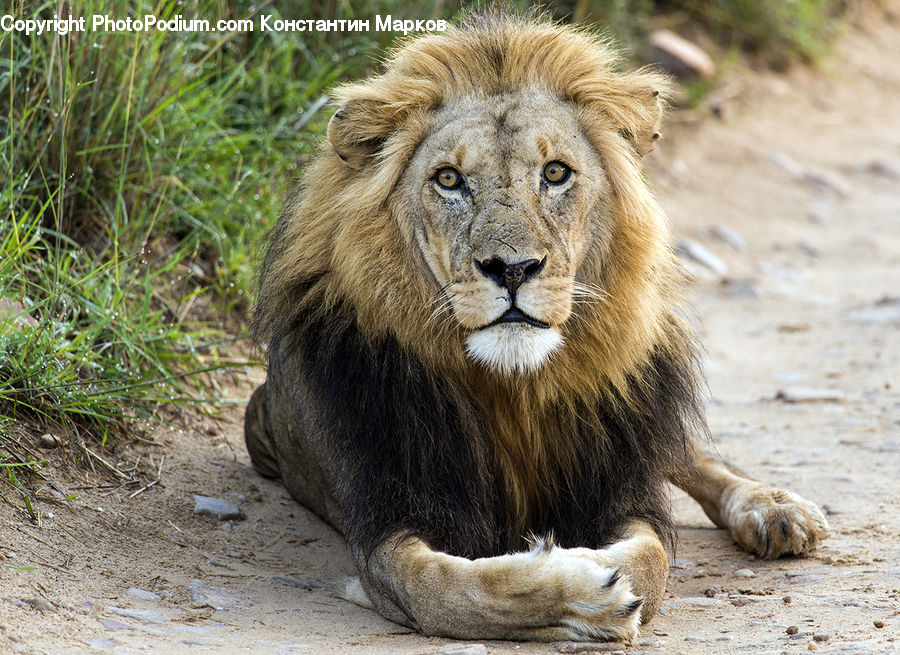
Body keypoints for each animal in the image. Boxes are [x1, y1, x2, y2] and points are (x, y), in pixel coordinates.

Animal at [244, 10, 829, 643]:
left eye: (555, 173)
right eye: (448, 179)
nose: (512, 268)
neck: (513, 389)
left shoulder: (620, 486)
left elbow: (650, 562)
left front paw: (597, 568)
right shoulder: (387, 523)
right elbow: (450, 592)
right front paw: (576, 589)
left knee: (692, 454)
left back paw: (776, 508)